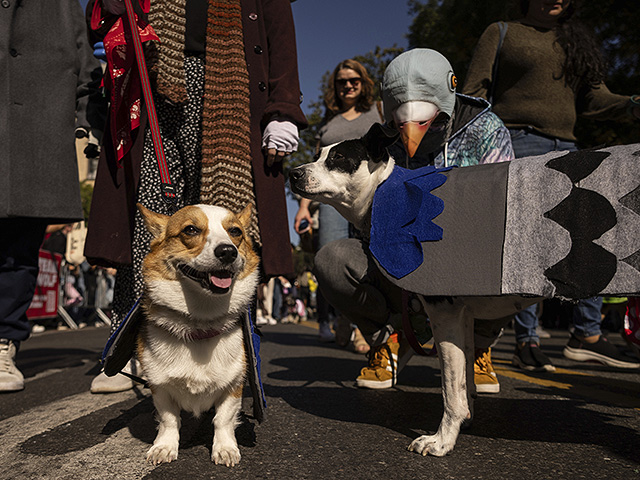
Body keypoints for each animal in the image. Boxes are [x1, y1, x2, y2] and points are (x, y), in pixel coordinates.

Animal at [138, 202, 260, 464]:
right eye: (191, 230)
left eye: (235, 231)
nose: (228, 252)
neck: (200, 323)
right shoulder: (159, 386)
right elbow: (169, 419)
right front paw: (164, 447)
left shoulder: (234, 384)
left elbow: (223, 419)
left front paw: (225, 448)